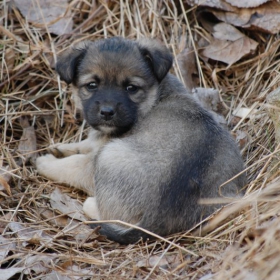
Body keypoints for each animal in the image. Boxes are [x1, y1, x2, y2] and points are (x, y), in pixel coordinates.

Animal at [36, 36, 246, 243]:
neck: (154, 99)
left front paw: (46, 163)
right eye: (92, 85)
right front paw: (59, 148)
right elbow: (86, 143)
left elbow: (71, 165)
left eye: (131, 88)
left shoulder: (95, 159)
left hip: (111, 156)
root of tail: (157, 220)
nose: (107, 112)